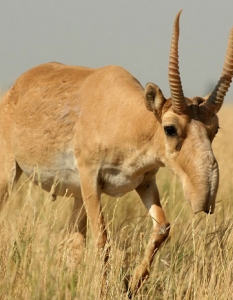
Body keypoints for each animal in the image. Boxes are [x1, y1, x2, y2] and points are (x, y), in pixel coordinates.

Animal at [0, 10, 232, 296]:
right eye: (170, 128)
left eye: (214, 128)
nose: (205, 196)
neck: (127, 117)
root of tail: (14, 90)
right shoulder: (91, 180)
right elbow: (102, 239)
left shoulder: (145, 182)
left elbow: (162, 228)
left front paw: (131, 284)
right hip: (11, 175)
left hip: (77, 197)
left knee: (73, 243)